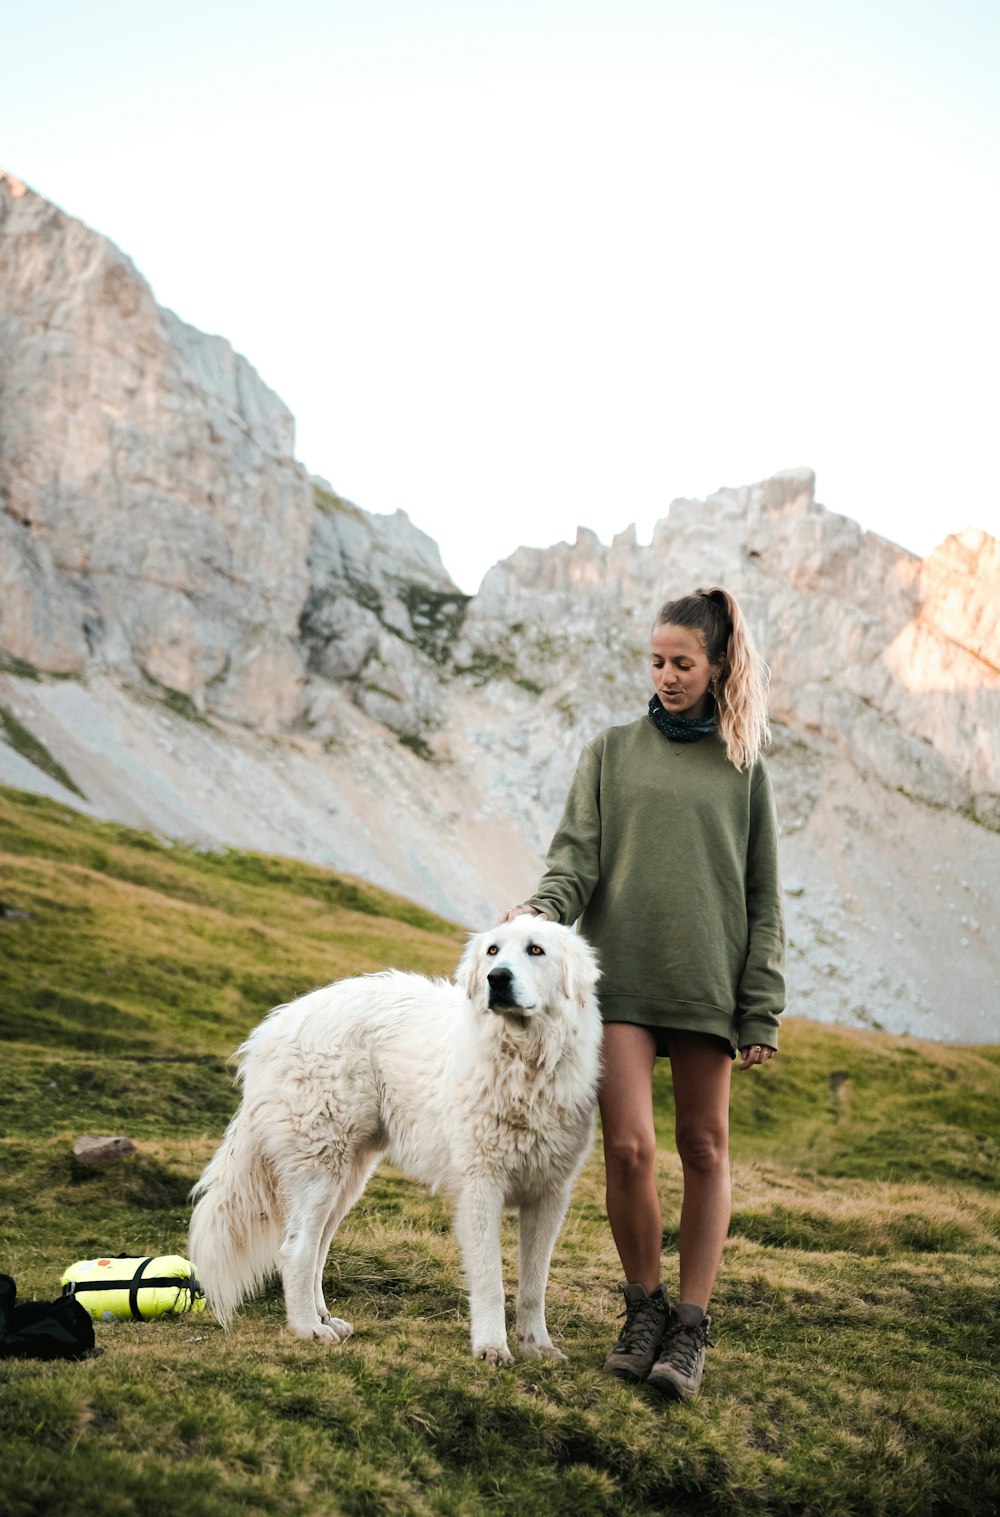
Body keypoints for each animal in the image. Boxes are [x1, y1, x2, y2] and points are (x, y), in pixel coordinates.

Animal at [192, 916, 606, 1371]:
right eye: (493, 952)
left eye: (536, 950)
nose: (497, 979)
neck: (523, 1064)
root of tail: (277, 1024)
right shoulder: (481, 1188)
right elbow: (491, 1280)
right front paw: (492, 1347)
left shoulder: (550, 1194)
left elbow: (535, 1284)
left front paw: (537, 1346)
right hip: (321, 1167)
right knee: (296, 1250)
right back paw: (307, 1328)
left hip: (348, 1176)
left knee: (318, 1247)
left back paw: (324, 1317)